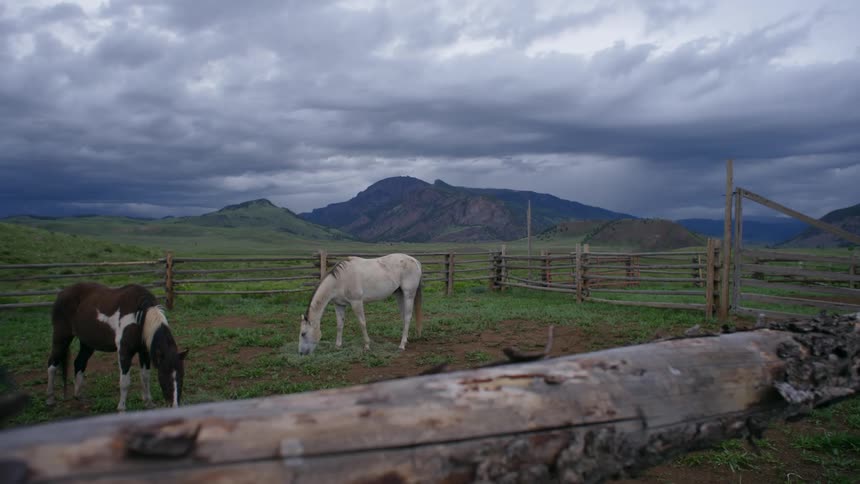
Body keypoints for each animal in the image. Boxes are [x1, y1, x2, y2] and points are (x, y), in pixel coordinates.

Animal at [46, 282, 188, 412]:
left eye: (181, 376)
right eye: (163, 376)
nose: (174, 406)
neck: (140, 314)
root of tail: (62, 293)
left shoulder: (144, 352)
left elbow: (145, 377)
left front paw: (148, 403)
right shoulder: (124, 351)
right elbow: (125, 382)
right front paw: (121, 408)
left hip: (87, 343)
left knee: (79, 363)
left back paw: (79, 396)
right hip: (61, 337)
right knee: (52, 364)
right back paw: (50, 399)